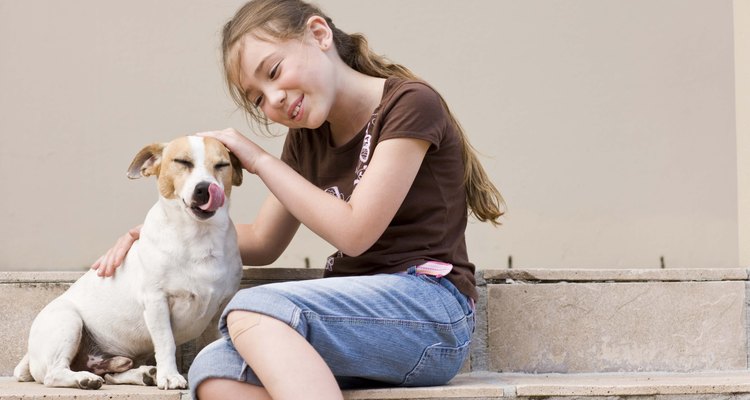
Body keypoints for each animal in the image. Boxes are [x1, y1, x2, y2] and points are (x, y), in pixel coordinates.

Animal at [13, 136, 244, 390]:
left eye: (222, 165)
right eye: (182, 162)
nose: (204, 188)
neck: (198, 237)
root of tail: (29, 357)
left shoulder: (220, 309)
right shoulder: (156, 301)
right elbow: (166, 343)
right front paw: (170, 376)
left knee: (111, 373)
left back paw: (142, 373)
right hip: (68, 321)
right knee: (53, 374)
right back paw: (85, 379)